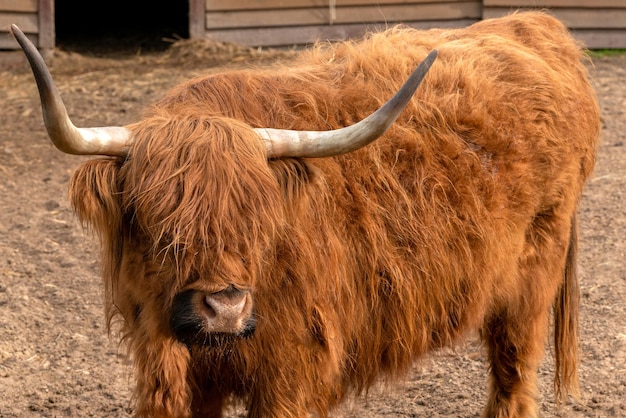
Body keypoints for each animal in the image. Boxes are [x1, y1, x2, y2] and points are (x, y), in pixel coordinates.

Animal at [12, 10, 600, 418]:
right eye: (158, 220)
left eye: (258, 219)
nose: (224, 310)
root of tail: (531, 24)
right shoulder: (168, 368)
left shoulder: (292, 373)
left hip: (529, 287)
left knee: (513, 376)